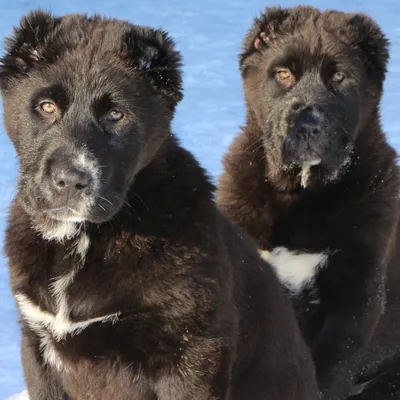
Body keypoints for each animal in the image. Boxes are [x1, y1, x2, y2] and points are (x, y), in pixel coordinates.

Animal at [0, 8, 318, 400]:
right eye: (46, 106)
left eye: (116, 116)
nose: (71, 181)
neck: (83, 239)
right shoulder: (37, 346)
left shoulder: (192, 350)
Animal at [217, 5, 400, 400]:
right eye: (283, 74)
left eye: (340, 77)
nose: (306, 124)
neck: (300, 195)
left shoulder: (355, 297)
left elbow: (327, 373)